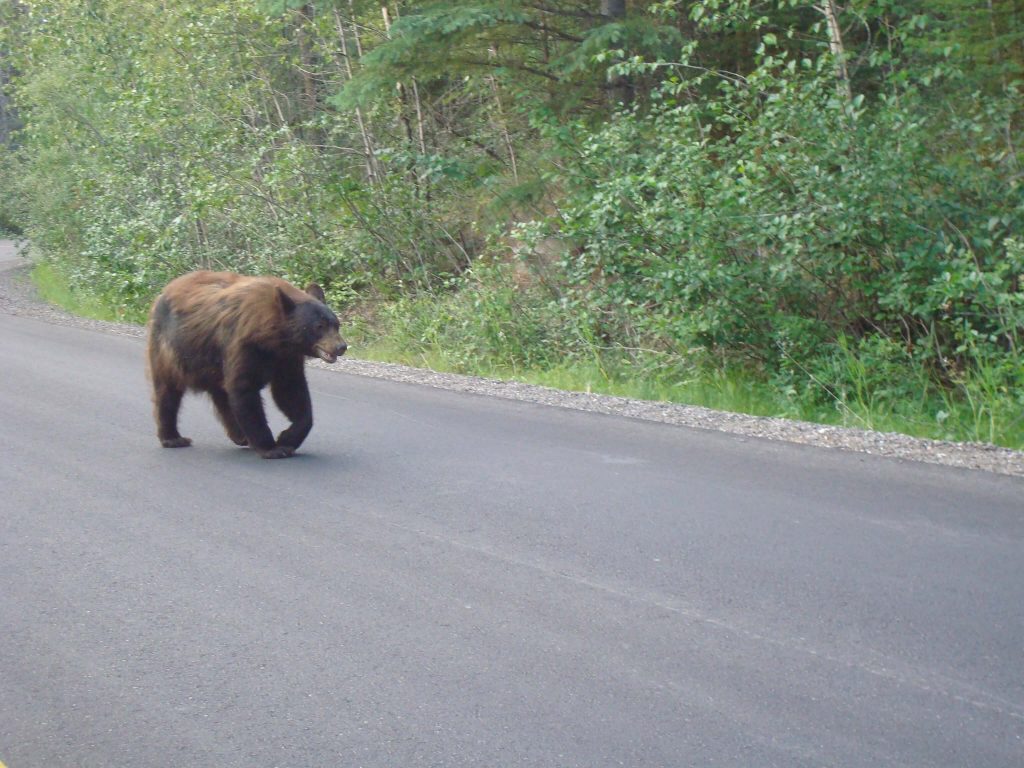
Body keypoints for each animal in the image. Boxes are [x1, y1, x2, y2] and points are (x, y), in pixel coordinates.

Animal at [145, 272, 348, 460]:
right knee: (168, 391)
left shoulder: (286, 358)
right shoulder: (243, 345)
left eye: (336, 324)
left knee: (221, 394)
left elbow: (291, 391)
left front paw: (288, 438)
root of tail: (163, 292)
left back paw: (239, 435)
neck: (272, 337)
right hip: (169, 349)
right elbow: (244, 389)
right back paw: (173, 438)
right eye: (319, 326)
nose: (341, 347)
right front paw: (272, 448)